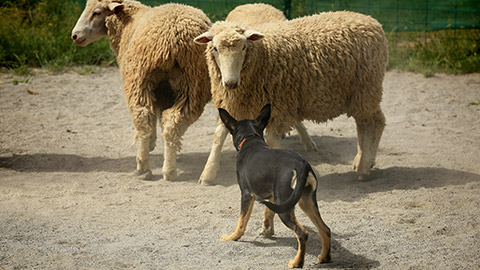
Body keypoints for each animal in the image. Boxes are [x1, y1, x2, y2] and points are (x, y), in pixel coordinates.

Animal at [72, 0, 211, 181]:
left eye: (97, 12)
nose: (74, 36)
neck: (126, 23)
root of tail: (170, 39)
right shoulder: (164, 92)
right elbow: (160, 119)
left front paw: (153, 144)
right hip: (188, 85)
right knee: (170, 121)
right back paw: (166, 170)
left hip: (140, 79)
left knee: (143, 118)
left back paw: (143, 166)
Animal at [197, 11, 388, 184]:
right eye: (215, 48)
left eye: (243, 47)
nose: (230, 83)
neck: (262, 55)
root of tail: (372, 21)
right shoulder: (232, 103)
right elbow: (218, 135)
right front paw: (207, 174)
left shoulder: (277, 106)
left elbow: (271, 140)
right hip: (358, 95)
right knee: (362, 124)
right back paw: (361, 160)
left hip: (367, 88)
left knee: (375, 123)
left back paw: (364, 167)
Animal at [219, 103, 332, 268]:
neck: (251, 140)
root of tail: (301, 164)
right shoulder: (272, 196)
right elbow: (268, 212)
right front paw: (267, 230)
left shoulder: (246, 194)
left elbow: (241, 220)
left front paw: (232, 237)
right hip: (305, 201)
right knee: (325, 229)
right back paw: (325, 257)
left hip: (286, 206)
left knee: (302, 233)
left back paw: (297, 262)